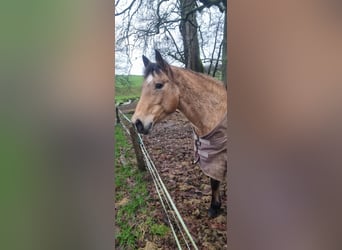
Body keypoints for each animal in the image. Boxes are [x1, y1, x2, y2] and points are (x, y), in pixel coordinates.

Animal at [132, 50, 228, 217]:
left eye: (159, 85)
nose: (137, 123)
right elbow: (213, 182)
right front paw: (215, 207)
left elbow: (215, 181)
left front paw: (215, 207)